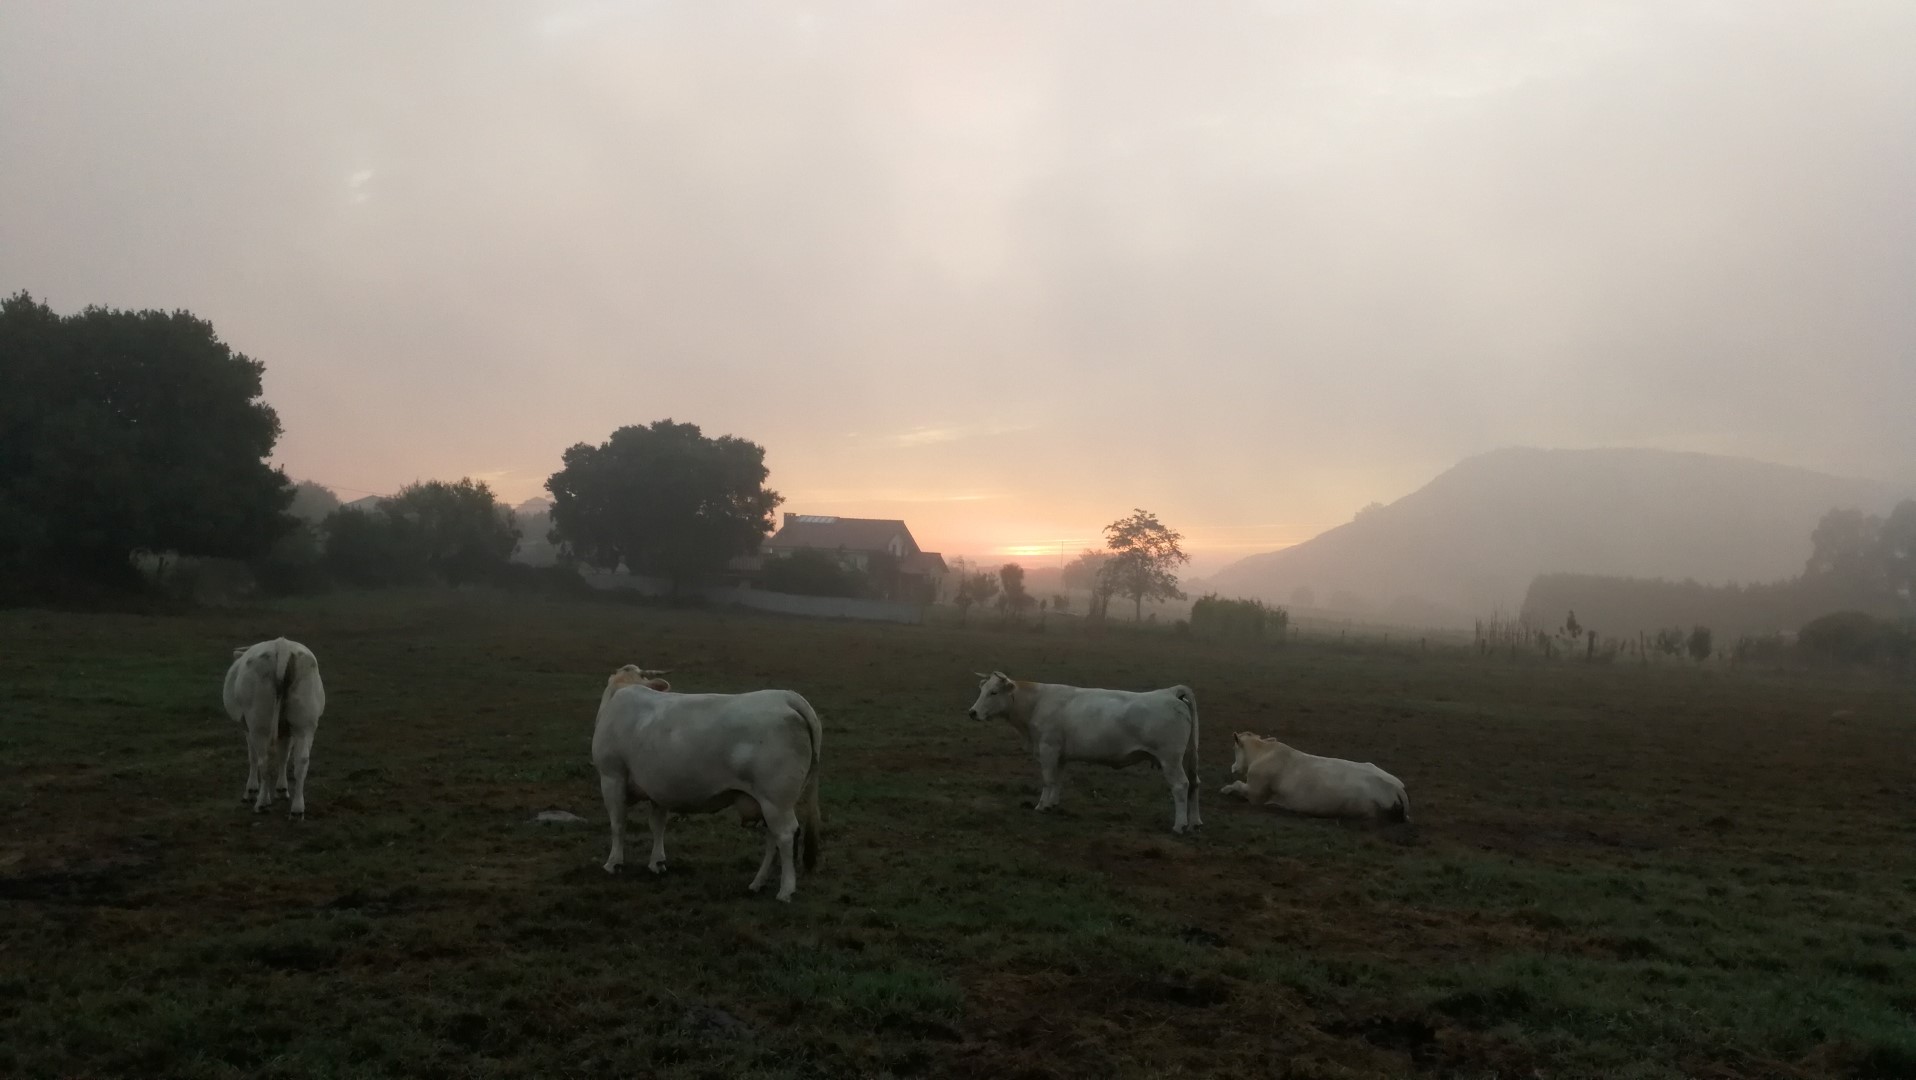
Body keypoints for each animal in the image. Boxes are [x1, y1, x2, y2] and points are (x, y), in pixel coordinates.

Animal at [221, 637, 326, 817]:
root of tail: (282, 645)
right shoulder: (287, 731)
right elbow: (284, 756)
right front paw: (282, 790)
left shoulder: (248, 728)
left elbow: (253, 757)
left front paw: (251, 790)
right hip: (304, 725)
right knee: (301, 761)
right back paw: (297, 809)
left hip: (260, 726)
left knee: (264, 761)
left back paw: (262, 802)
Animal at [592, 665, 823, 901]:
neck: (623, 691)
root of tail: (787, 697)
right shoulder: (658, 787)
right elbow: (657, 825)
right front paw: (657, 862)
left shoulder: (612, 777)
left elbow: (618, 823)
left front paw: (613, 863)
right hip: (769, 802)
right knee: (772, 838)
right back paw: (757, 883)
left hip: (776, 800)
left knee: (785, 836)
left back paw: (785, 890)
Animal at [965, 670, 1202, 834]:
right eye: (982, 690)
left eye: (994, 692)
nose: (972, 712)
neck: (1037, 702)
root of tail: (1171, 692)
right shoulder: (1060, 754)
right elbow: (1058, 780)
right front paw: (1052, 804)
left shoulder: (1048, 748)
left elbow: (1048, 780)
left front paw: (1041, 805)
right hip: (1187, 758)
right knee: (1194, 783)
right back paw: (1195, 822)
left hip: (1170, 760)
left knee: (1181, 786)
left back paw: (1180, 825)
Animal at [1218, 732, 1409, 822]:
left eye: (1235, 748)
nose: (1233, 767)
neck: (1263, 753)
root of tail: (1397, 788)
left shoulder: (1255, 794)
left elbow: (1236, 784)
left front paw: (1225, 789)